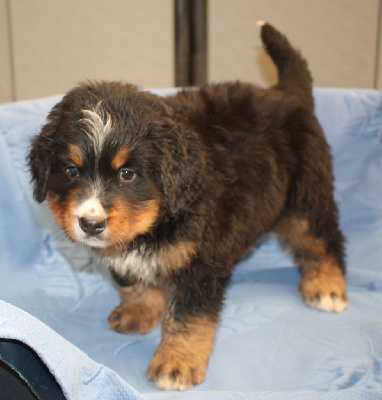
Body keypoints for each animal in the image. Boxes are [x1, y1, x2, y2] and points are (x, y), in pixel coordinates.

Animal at [28, 23, 348, 390]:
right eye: (71, 170)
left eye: (127, 174)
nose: (91, 224)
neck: (160, 218)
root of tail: (287, 92)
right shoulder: (127, 254)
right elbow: (136, 283)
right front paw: (140, 311)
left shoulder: (201, 264)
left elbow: (188, 317)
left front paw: (176, 362)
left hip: (307, 198)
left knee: (322, 239)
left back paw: (327, 287)